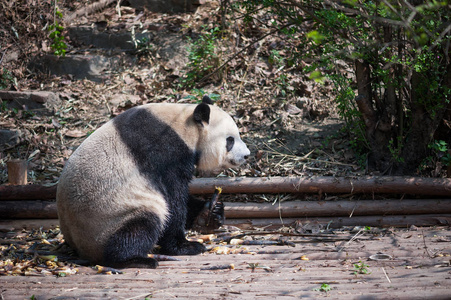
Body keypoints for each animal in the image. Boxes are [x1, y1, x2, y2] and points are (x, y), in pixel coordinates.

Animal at [56, 95, 251, 268]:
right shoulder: (164, 153)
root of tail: (80, 248)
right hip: (111, 217)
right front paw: (185, 246)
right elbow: (173, 197)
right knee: (141, 226)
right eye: (230, 140)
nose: (246, 155)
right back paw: (133, 259)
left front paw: (211, 212)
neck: (185, 127)